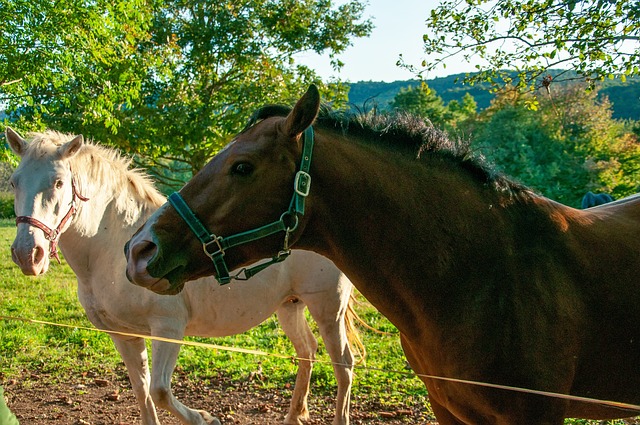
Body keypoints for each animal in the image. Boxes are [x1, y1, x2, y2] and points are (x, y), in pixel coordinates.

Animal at [5, 126, 358, 424]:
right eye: (15, 182)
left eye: (59, 182)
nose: (28, 254)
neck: (111, 246)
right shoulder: (124, 336)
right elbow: (143, 393)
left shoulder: (168, 328)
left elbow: (160, 391)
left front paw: (206, 418)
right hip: (289, 306)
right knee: (307, 352)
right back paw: (294, 415)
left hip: (328, 310)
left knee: (344, 365)